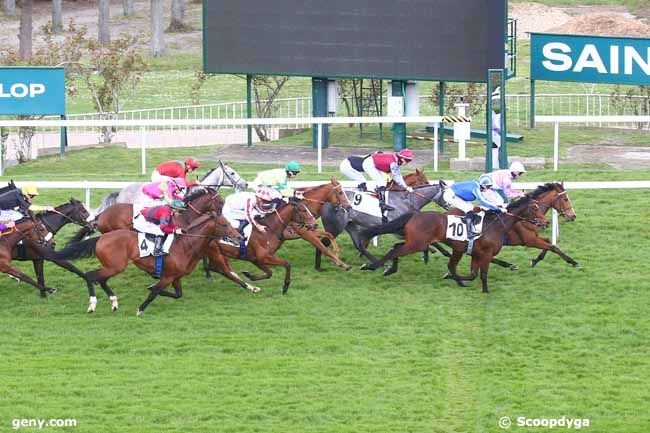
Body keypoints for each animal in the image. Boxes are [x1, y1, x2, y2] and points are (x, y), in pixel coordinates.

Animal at [46, 210, 240, 314]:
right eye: (224, 224)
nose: (239, 236)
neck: (186, 245)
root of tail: (101, 238)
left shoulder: (176, 277)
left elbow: (176, 294)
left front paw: (151, 288)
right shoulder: (168, 276)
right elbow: (154, 292)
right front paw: (140, 309)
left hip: (111, 266)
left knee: (100, 279)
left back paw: (114, 302)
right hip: (115, 266)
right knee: (90, 276)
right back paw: (93, 304)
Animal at [360, 201, 548, 292]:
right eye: (535, 210)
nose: (545, 222)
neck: (496, 225)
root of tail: (415, 214)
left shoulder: (476, 253)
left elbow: (472, 274)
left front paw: (454, 278)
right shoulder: (485, 254)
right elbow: (482, 274)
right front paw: (486, 291)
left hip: (415, 242)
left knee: (396, 247)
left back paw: (389, 268)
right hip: (416, 243)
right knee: (396, 250)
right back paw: (372, 266)